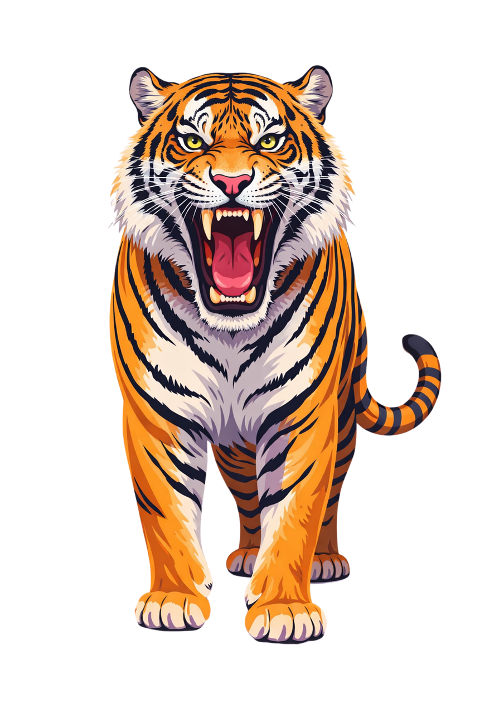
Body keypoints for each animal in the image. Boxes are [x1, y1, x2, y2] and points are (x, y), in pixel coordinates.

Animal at [110, 65, 441, 643]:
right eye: (192, 141)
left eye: (270, 141)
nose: (232, 183)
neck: (230, 328)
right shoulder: (158, 413)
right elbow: (165, 512)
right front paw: (174, 599)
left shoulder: (303, 415)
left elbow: (295, 512)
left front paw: (286, 609)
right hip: (233, 445)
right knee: (246, 496)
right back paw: (246, 556)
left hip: (342, 422)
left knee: (331, 493)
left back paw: (324, 561)